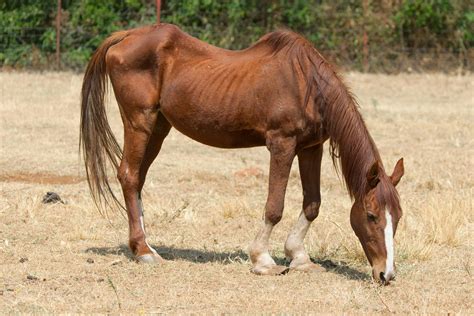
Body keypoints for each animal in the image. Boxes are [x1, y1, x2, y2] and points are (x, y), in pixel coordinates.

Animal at [80, 22, 404, 284]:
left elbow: (312, 204)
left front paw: (299, 257)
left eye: (398, 217)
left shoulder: (312, 148)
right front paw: (263, 260)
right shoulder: (282, 145)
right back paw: (143, 251)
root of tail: (126, 35)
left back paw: (145, 245)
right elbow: (274, 207)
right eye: (372, 215)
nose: (386, 274)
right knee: (130, 176)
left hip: (159, 128)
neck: (306, 85)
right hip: (139, 122)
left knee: (137, 179)